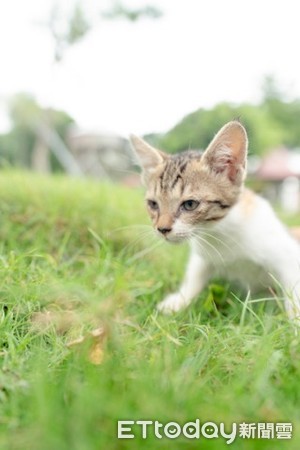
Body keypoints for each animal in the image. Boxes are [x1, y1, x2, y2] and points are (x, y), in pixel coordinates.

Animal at [130, 121, 300, 322]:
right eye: (153, 204)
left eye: (189, 204)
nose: (162, 229)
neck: (219, 231)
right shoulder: (203, 257)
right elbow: (194, 276)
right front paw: (179, 301)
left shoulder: (289, 256)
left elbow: (294, 293)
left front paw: (295, 322)